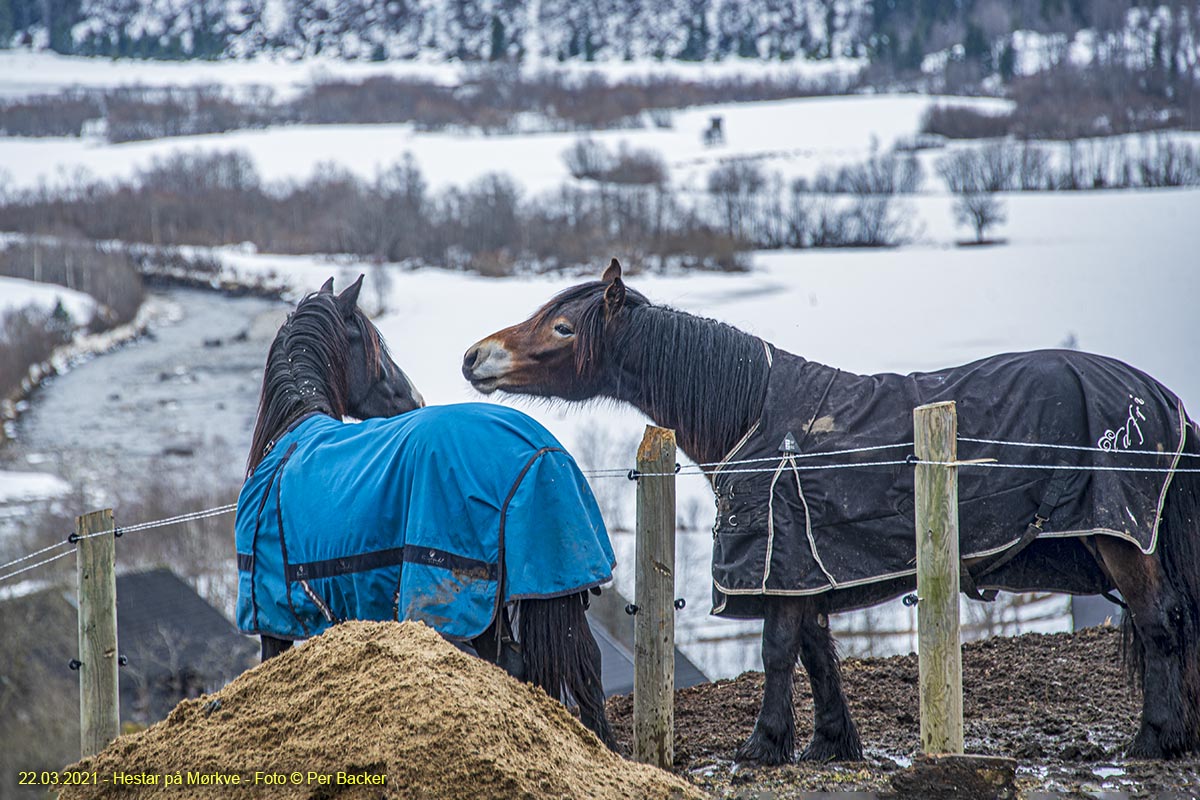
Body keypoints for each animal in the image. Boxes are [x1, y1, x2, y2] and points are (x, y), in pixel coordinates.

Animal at [244, 278, 619, 748]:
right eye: (376, 348)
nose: (415, 398)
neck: (291, 432)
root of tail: (542, 455)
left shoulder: (272, 624)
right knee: (577, 668)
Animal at [463, 260, 1200, 767]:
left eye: (562, 327)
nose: (475, 356)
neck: (756, 413)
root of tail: (1160, 398)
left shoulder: (780, 563)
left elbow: (777, 651)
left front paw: (763, 746)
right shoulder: (806, 567)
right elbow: (818, 653)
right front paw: (829, 743)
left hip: (1121, 541)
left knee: (1159, 620)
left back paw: (1155, 738)